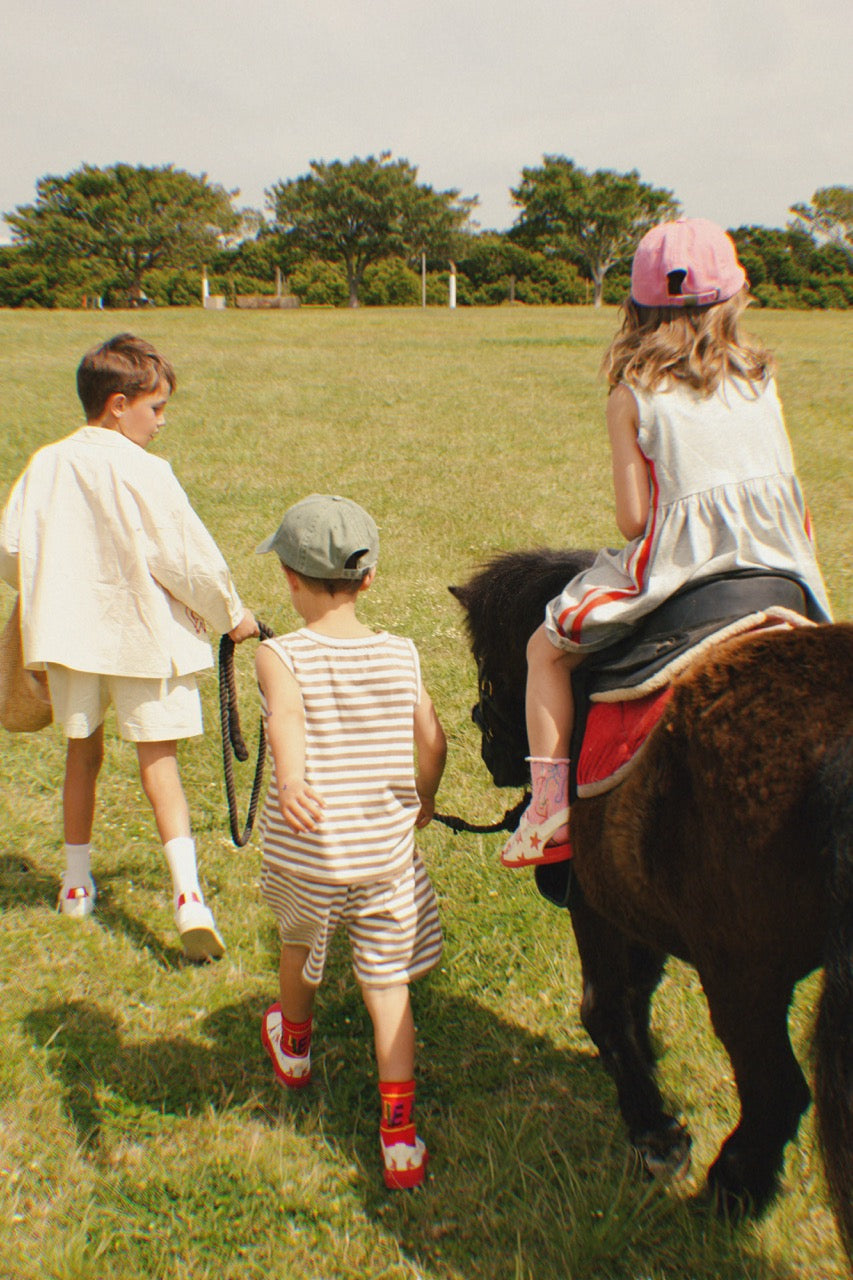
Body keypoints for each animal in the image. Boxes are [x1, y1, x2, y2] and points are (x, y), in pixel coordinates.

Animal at [450, 550, 850, 1259]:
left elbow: (604, 1006)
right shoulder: (637, 909)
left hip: (742, 977)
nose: (492, 750)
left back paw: (731, 1188)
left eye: (490, 671)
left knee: (776, 1092)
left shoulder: (595, 907)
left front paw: (653, 1129)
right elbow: (635, 996)